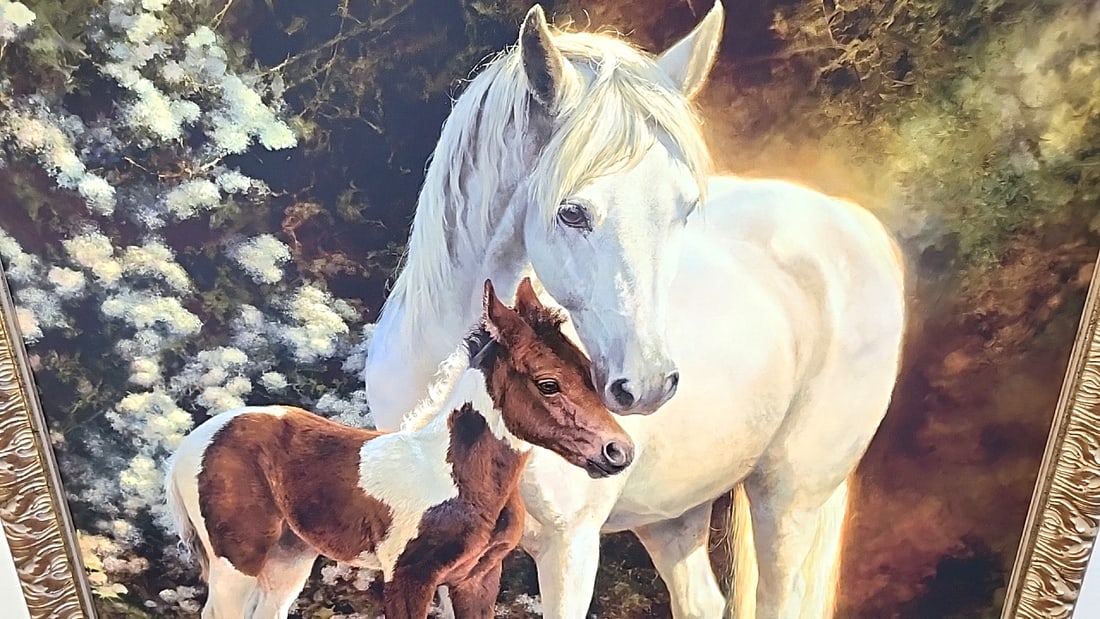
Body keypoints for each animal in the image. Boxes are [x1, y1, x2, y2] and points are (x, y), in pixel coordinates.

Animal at [165, 278, 636, 619]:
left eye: (587, 372)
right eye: (548, 384)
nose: (619, 451)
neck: (457, 477)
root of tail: (189, 444)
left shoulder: (478, 579)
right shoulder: (408, 578)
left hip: (289, 558)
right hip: (236, 561)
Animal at [362, 3, 907, 618]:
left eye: (684, 209)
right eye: (572, 212)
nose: (644, 386)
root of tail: (851, 221)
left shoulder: (569, 549)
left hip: (790, 495)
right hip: (675, 514)